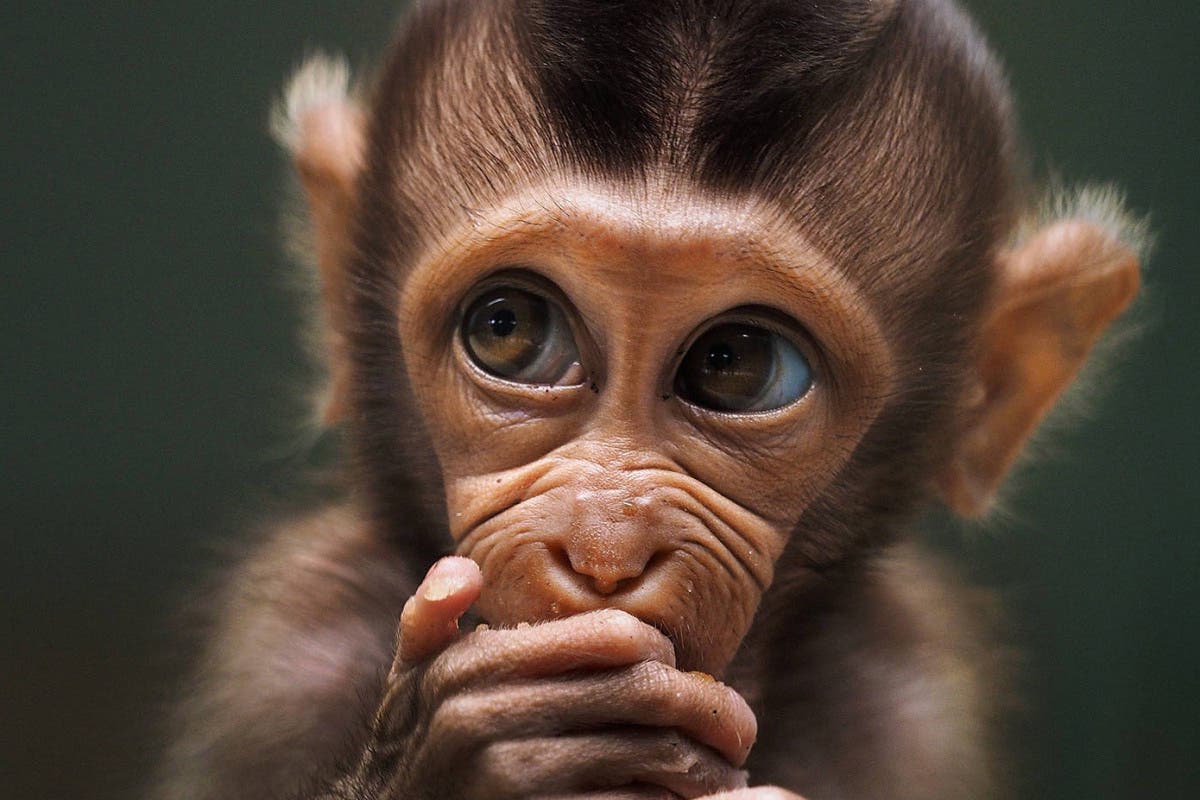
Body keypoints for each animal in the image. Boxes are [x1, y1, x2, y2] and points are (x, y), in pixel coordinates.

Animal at [152, 1, 1147, 799]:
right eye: (509, 327)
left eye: (737, 362)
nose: (604, 553)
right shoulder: (287, 649)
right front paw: (479, 751)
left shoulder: (919, 708)